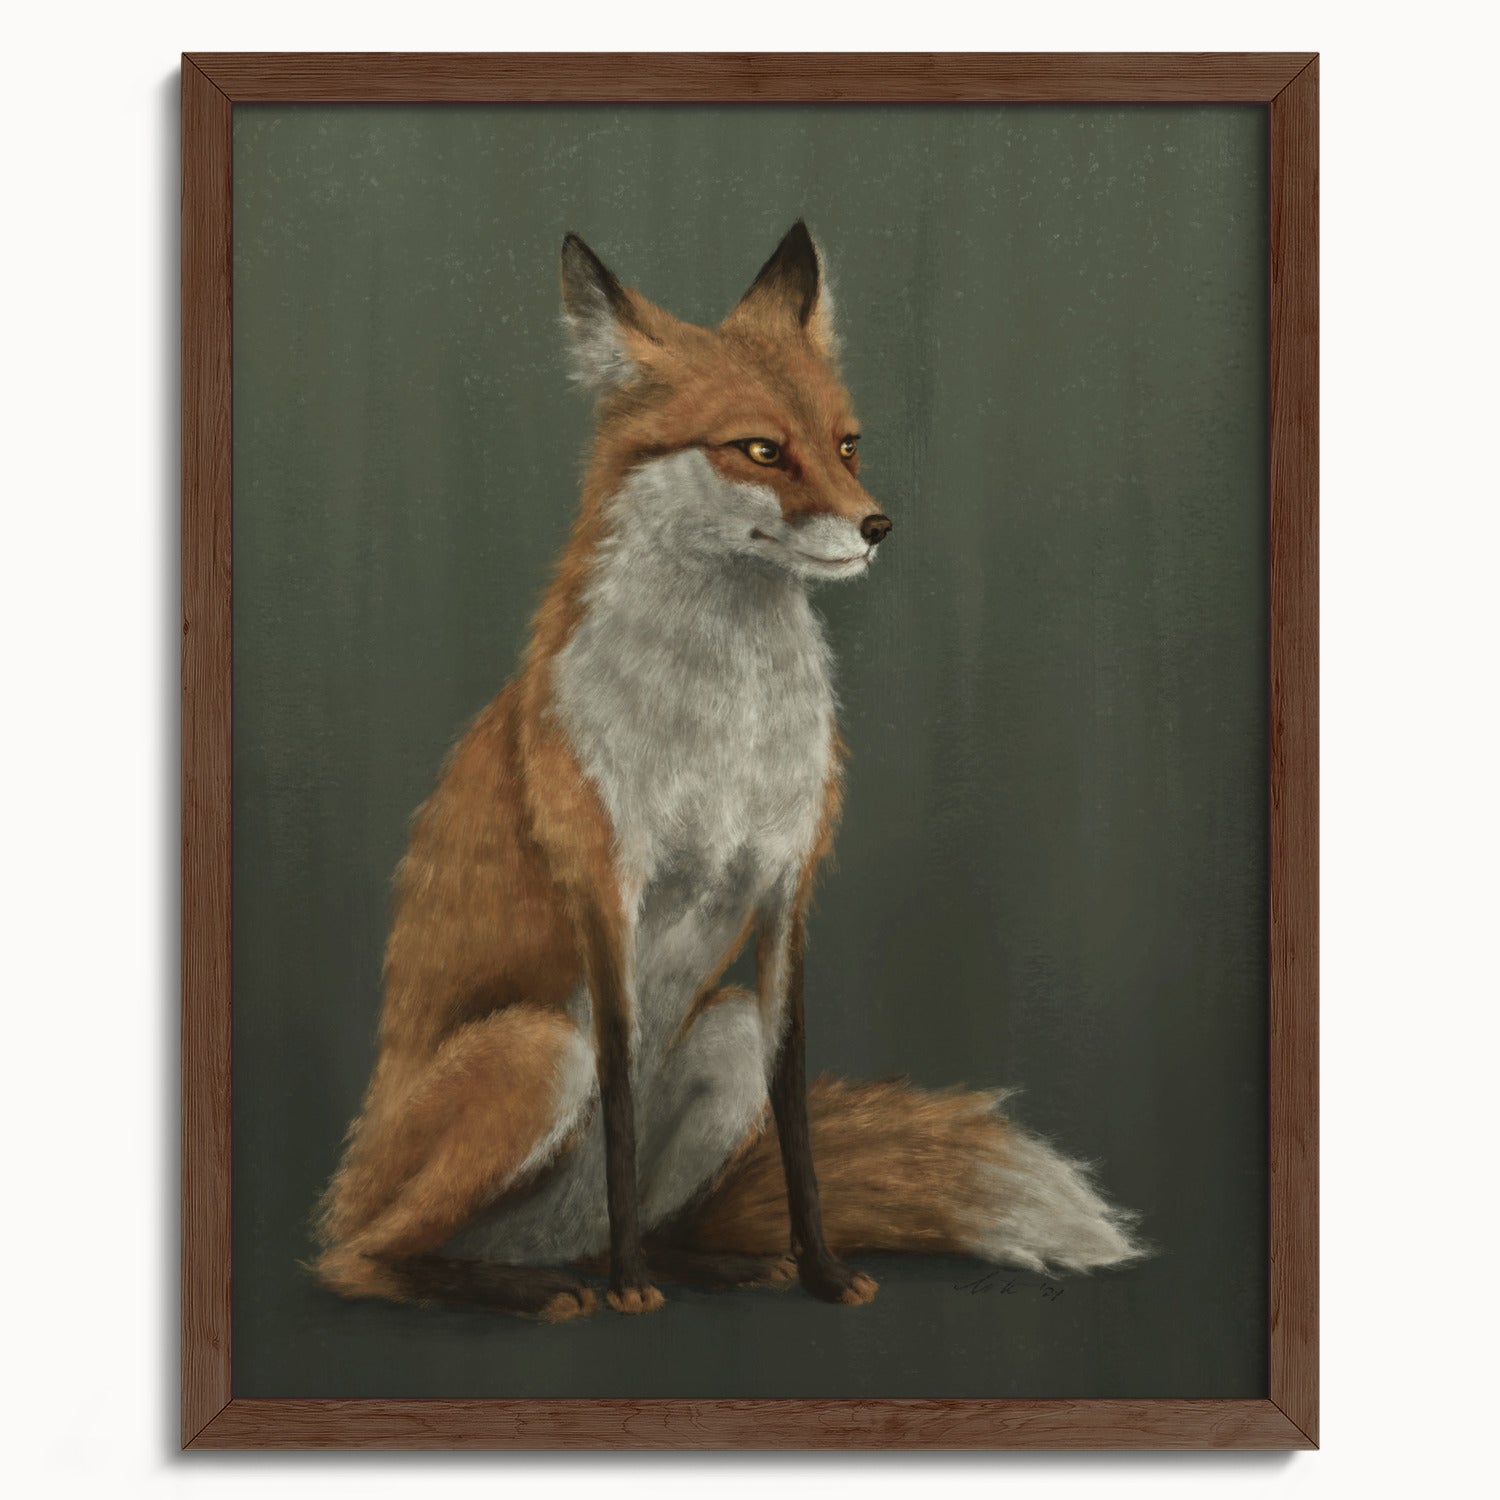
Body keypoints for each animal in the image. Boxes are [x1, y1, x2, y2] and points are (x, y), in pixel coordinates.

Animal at [313, 222, 1144, 1321]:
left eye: (847, 444)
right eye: (760, 449)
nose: (878, 526)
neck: (726, 731)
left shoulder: (787, 888)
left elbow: (794, 1113)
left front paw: (822, 1271)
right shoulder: (606, 890)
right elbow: (621, 1098)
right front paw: (630, 1292)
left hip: (722, 1034)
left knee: (643, 1215)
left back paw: (704, 1263)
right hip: (536, 1051)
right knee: (362, 1259)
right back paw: (542, 1286)